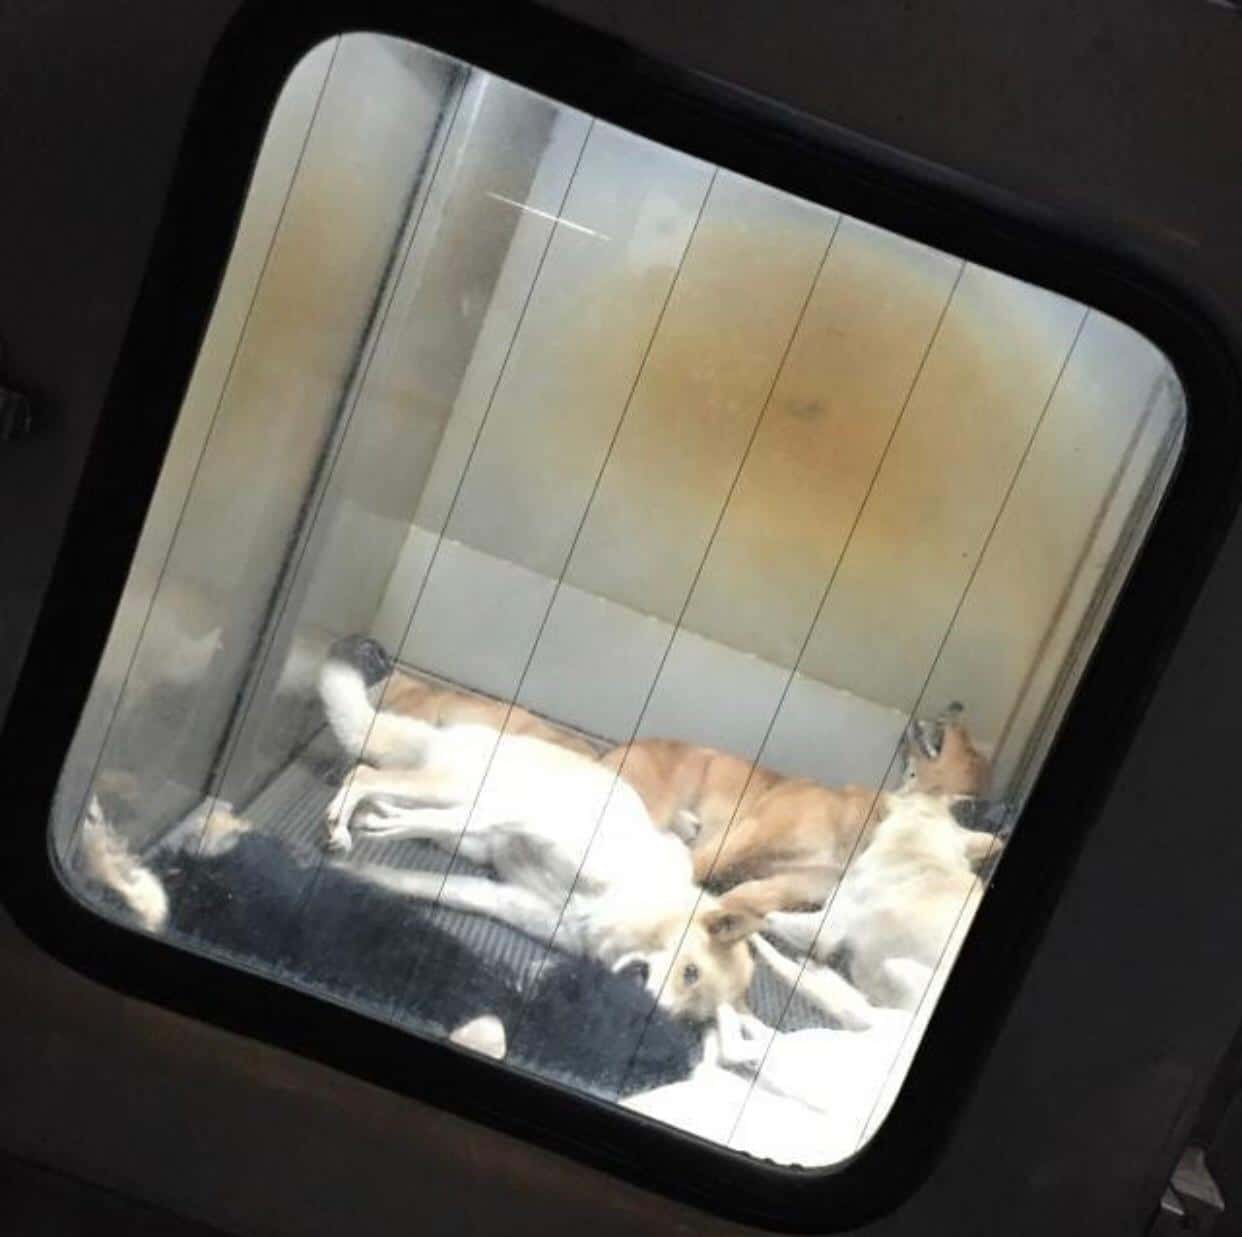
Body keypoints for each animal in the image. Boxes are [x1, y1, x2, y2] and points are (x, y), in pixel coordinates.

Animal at [319, 650, 762, 1022]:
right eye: (691, 972)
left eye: (687, 1018)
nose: (642, 1012)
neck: (641, 905)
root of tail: (451, 734)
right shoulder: (529, 819)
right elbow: (457, 821)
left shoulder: (499, 896)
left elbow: (419, 881)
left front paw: (357, 871)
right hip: (459, 790)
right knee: (368, 776)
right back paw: (350, 822)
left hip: (468, 835)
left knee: (394, 798)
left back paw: (373, 816)